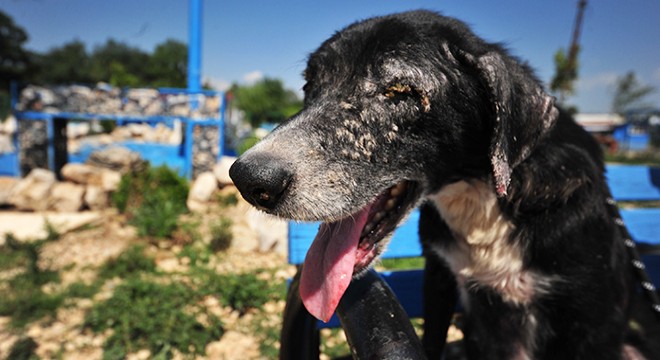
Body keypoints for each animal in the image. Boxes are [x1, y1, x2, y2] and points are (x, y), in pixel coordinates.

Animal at [229, 9, 652, 358]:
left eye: (400, 91)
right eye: (309, 86)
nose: (248, 179)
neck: (484, 199)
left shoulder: (592, 320)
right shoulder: (439, 281)